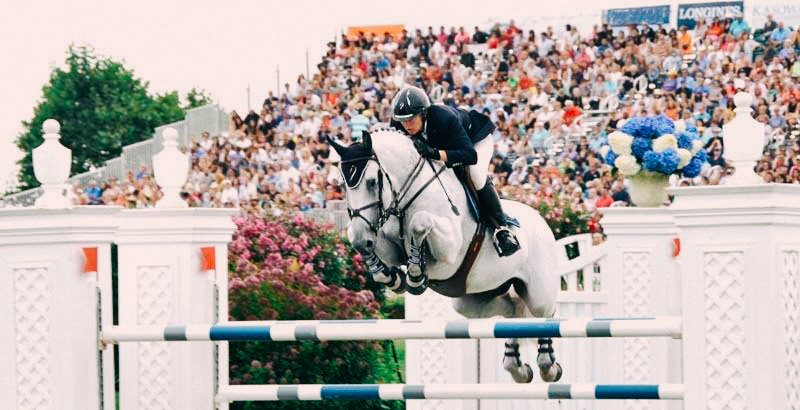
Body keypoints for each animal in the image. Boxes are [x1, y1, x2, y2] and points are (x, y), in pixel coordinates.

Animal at [329, 127, 562, 383]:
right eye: (343, 185)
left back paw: (548, 366)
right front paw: (392, 276)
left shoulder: (450, 254)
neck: (406, 196)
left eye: (372, 182)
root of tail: (540, 219)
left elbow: (420, 222)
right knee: (512, 312)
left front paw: (415, 276)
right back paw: (518, 368)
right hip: (471, 298)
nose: (365, 240)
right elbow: (358, 239)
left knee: (544, 314)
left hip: (538, 293)